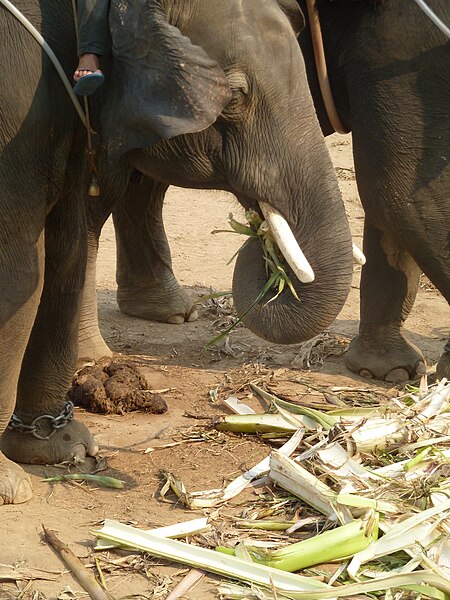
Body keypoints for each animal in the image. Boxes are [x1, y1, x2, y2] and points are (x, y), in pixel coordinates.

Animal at [0, 0, 356, 506]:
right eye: (235, 95)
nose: (259, 241)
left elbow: (65, 247)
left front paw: (63, 447)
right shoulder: (18, 104)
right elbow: (18, 270)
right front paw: (12, 485)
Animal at [89, 0, 450, 382]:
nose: (259, 233)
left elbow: (398, 195)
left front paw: (392, 373)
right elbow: (400, 190)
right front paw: (400, 374)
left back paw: (169, 311)